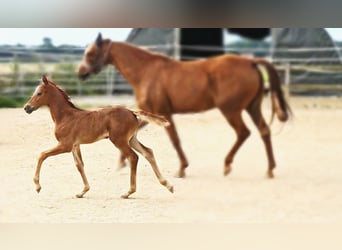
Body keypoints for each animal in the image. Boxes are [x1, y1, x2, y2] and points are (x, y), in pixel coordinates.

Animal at [24, 75, 174, 198]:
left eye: (39, 93)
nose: (27, 108)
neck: (65, 116)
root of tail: (131, 111)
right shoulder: (75, 145)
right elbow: (79, 165)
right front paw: (82, 192)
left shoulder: (65, 145)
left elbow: (42, 155)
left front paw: (37, 186)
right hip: (131, 139)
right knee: (148, 152)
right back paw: (168, 185)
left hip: (119, 141)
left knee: (133, 157)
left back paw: (128, 192)